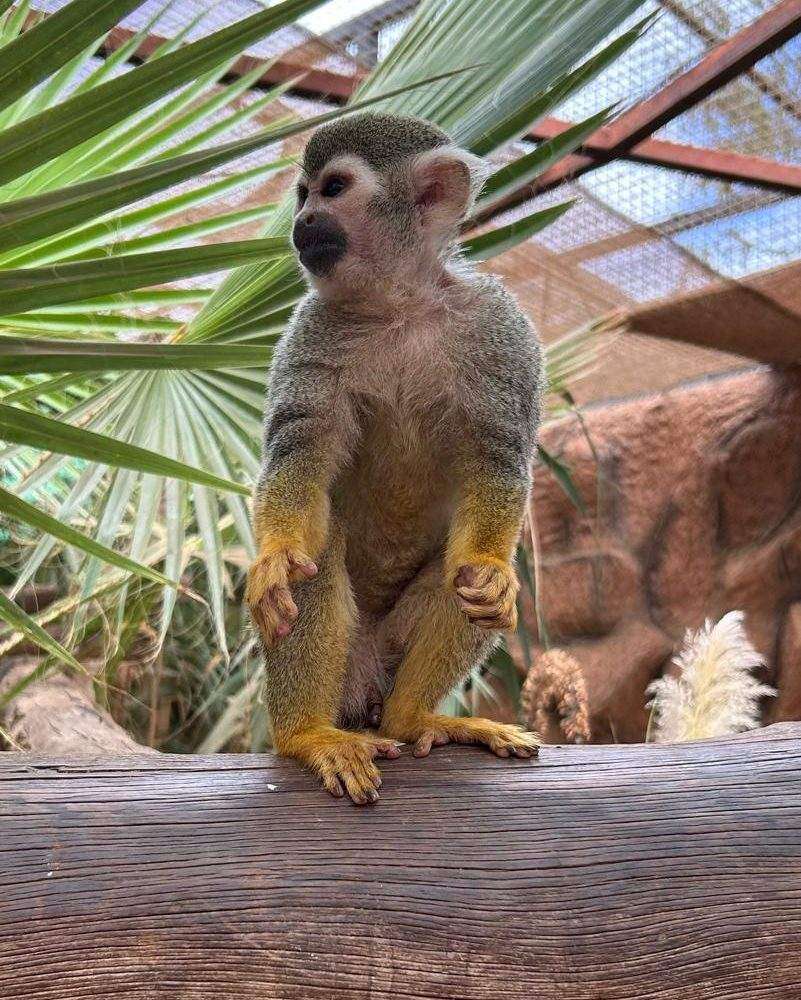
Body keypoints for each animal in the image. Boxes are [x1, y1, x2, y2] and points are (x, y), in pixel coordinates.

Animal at [246, 112, 542, 804]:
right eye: (302, 194)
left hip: (386, 653)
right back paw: (306, 735)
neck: (397, 304)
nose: (303, 219)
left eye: (333, 188)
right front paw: (275, 556)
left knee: (461, 576)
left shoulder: (499, 326)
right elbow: (299, 454)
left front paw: (493, 571)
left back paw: (413, 718)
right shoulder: (312, 327)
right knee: (317, 555)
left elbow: (497, 455)